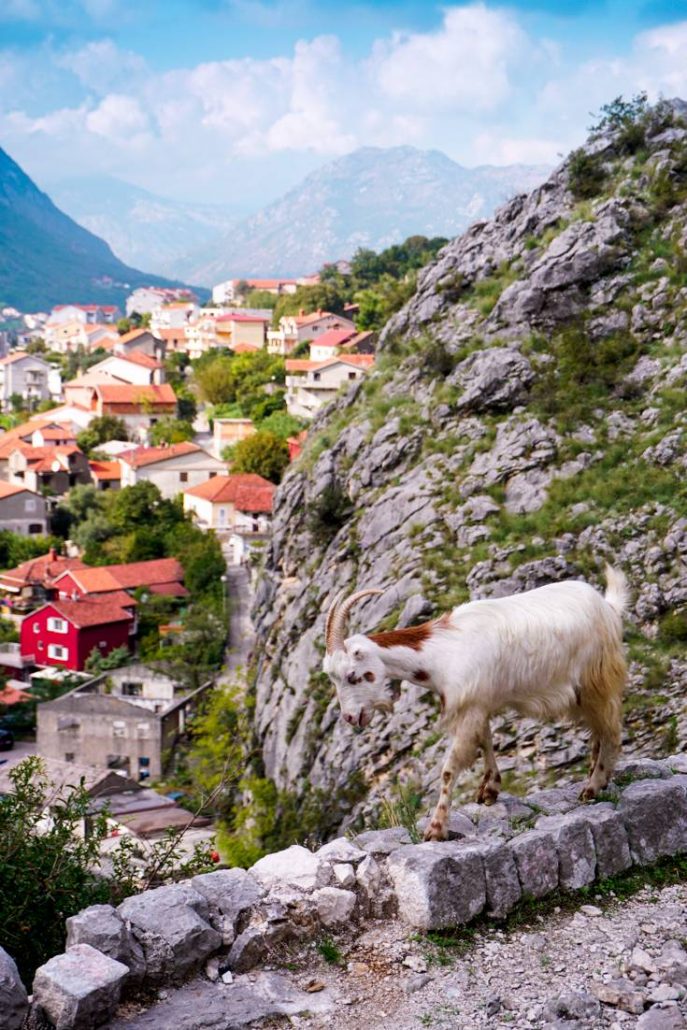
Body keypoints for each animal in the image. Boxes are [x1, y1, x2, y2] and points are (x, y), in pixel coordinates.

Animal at [323, 568, 630, 840]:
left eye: (352, 676)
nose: (350, 717)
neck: (440, 653)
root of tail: (607, 607)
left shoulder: (468, 707)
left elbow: (450, 768)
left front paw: (436, 829)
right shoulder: (478, 703)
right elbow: (485, 741)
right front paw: (489, 790)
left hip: (596, 679)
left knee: (611, 730)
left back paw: (594, 786)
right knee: (597, 730)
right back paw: (595, 775)